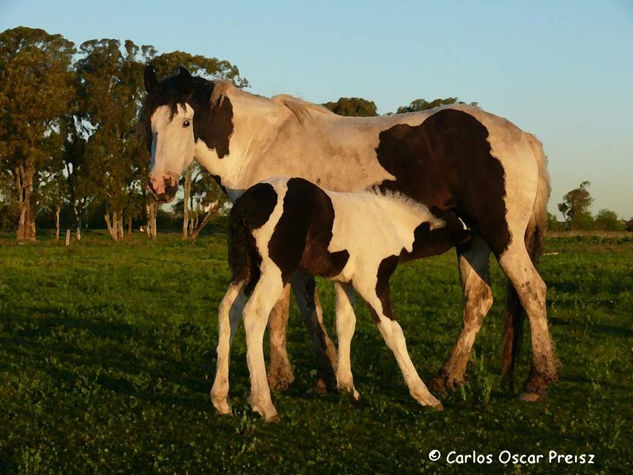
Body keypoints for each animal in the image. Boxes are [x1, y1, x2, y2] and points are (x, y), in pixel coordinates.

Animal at [212, 178, 470, 420]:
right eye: (459, 222)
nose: (470, 239)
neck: (391, 224)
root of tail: (246, 205)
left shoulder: (344, 283)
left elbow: (346, 324)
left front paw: (347, 388)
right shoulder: (371, 282)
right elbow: (393, 331)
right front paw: (426, 396)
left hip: (246, 271)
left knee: (229, 311)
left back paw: (221, 400)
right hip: (274, 272)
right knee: (254, 314)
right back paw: (264, 405)